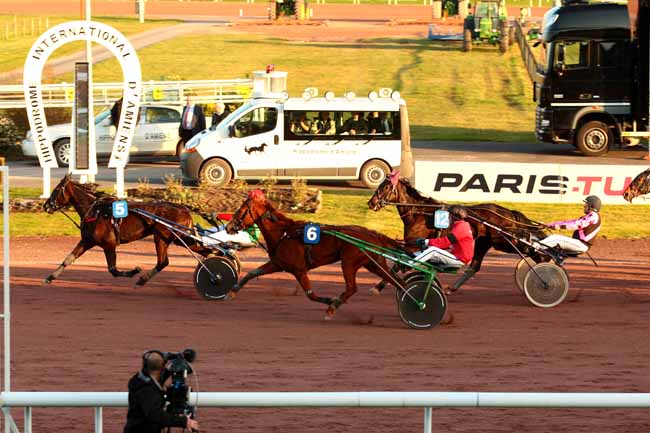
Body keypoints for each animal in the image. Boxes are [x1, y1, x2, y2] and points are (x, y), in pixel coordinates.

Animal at [43, 172, 205, 286]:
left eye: (56, 189)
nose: (46, 205)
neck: (96, 211)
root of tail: (183, 208)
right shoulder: (87, 241)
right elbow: (68, 259)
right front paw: (50, 277)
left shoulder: (109, 244)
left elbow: (113, 270)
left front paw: (134, 271)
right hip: (177, 238)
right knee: (199, 251)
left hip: (166, 237)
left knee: (163, 262)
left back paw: (142, 280)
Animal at [225, 189, 402, 318]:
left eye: (241, 210)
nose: (228, 227)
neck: (284, 233)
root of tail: (373, 233)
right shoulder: (277, 263)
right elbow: (252, 273)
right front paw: (231, 292)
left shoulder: (299, 270)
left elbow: (310, 294)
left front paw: (330, 301)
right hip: (374, 263)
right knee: (396, 281)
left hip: (349, 263)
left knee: (352, 288)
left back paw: (333, 307)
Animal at [368, 174, 544, 292]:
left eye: (384, 187)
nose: (371, 202)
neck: (419, 212)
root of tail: (507, 212)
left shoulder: (413, 244)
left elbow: (397, 265)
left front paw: (378, 287)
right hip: (483, 242)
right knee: (474, 266)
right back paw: (451, 289)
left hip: (502, 241)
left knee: (530, 248)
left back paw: (544, 268)